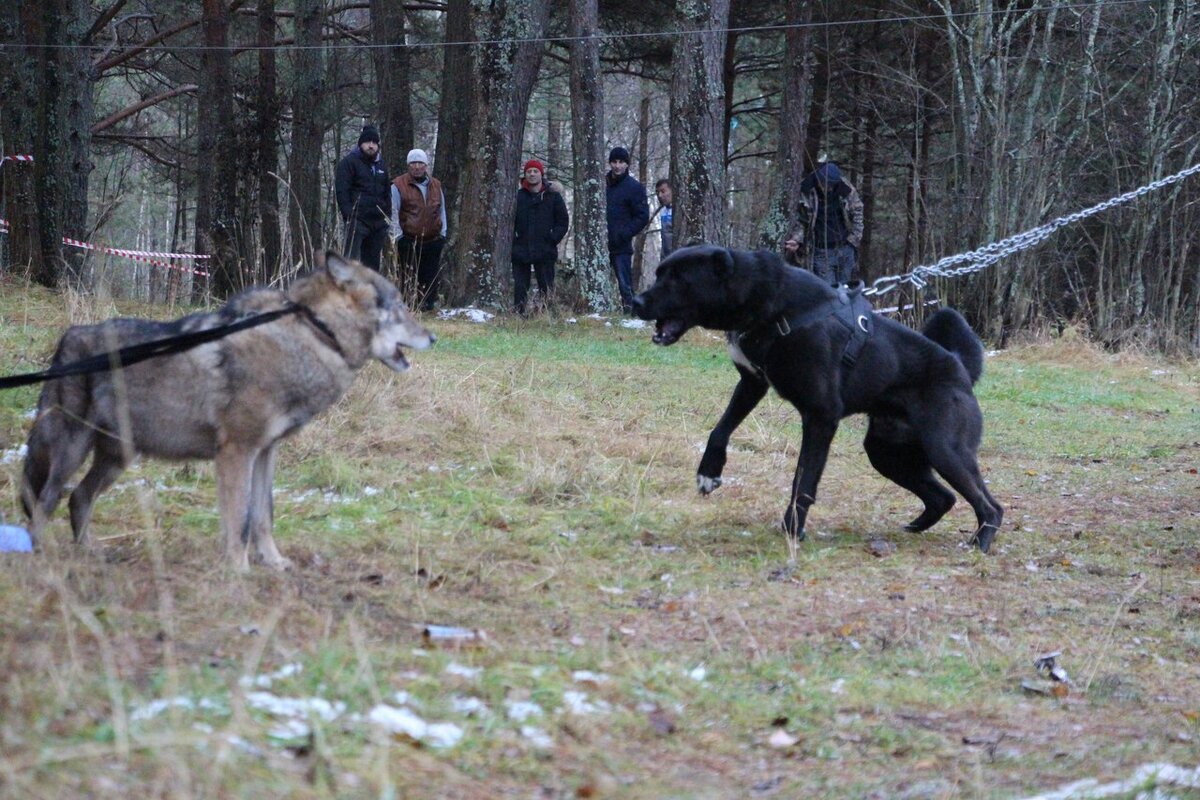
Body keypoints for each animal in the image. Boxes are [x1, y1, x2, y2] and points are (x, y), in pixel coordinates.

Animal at [21, 250, 434, 568]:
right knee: (44, 501)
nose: (432, 337)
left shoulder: (266, 452)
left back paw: (91, 553)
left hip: (117, 457)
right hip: (72, 451)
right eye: (399, 306)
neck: (312, 331)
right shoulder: (237, 451)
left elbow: (264, 515)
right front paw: (238, 570)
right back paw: (44, 556)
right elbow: (240, 519)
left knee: (78, 498)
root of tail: (67, 339)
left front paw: (273, 562)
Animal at [633, 247, 1008, 554]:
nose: (636, 302)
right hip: (886, 453)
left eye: (678, 279)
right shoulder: (752, 383)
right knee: (943, 497)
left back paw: (979, 544)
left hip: (944, 448)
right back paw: (915, 528)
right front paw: (708, 472)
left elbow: (804, 480)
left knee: (990, 505)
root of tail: (959, 367)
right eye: (659, 273)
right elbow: (720, 430)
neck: (769, 301)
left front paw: (792, 530)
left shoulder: (821, 416)